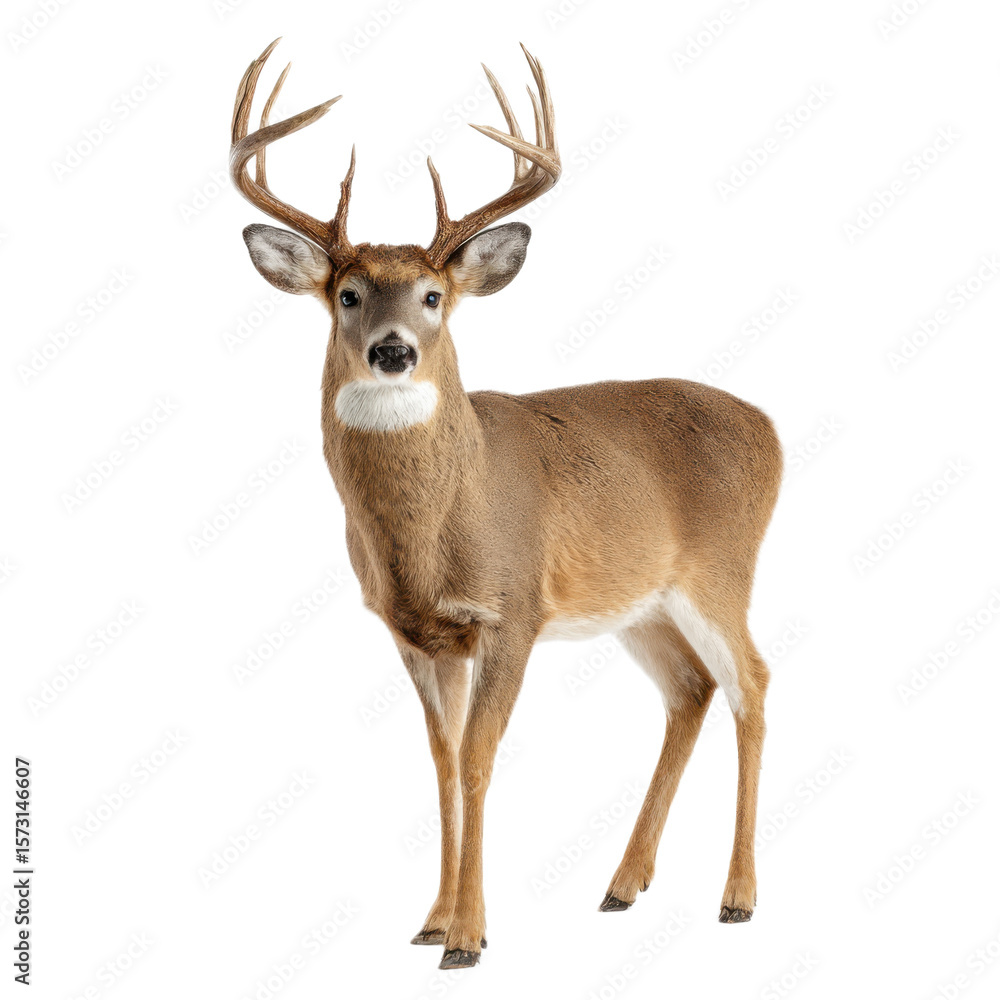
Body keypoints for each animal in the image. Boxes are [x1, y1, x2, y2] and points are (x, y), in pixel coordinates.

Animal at [230, 38, 783, 970]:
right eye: (348, 294)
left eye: (433, 296)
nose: (391, 350)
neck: (433, 529)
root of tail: (771, 428)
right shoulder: (417, 632)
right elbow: (443, 762)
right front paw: (429, 919)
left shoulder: (512, 611)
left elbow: (482, 760)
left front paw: (469, 936)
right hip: (642, 603)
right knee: (690, 689)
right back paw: (622, 885)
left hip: (721, 570)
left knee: (752, 679)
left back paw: (738, 897)